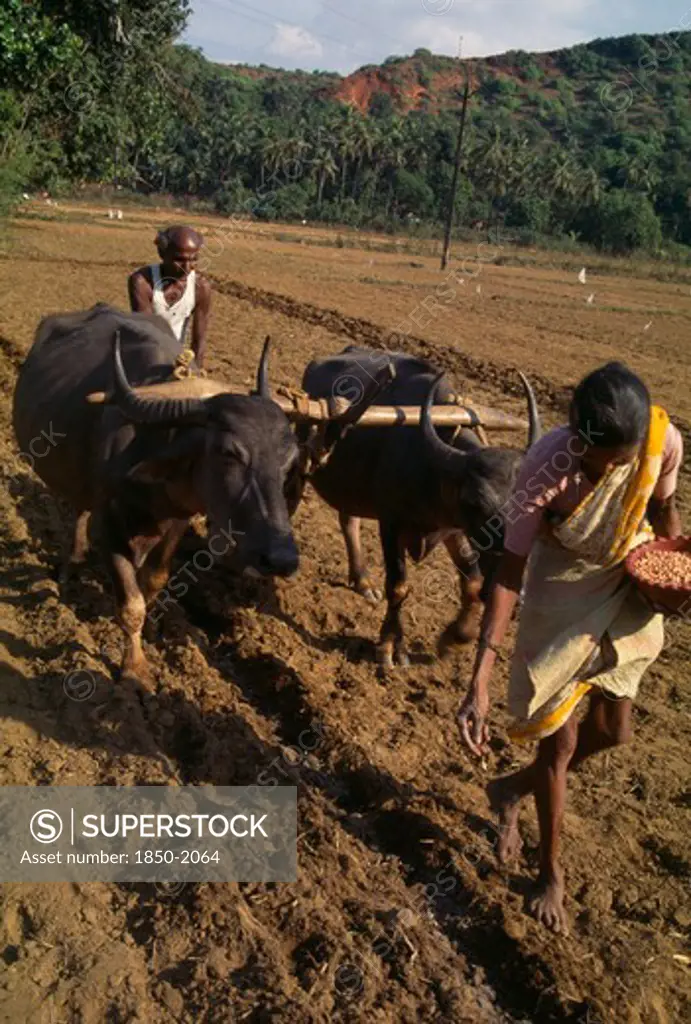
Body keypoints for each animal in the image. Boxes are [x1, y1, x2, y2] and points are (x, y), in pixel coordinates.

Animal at [12, 303, 300, 688]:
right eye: (228, 452)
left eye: (289, 460)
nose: (281, 558)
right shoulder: (110, 523)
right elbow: (131, 604)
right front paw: (135, 669)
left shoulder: (178, 520)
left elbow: (152, 583)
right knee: (78, 511)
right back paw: (70, 565)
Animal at [296, 346, 540, 671]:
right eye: (476, 502)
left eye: (529, 503)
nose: (514, 591)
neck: (429, 468)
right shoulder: (391, 523)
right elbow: (398, 586)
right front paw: (389, 646)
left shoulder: (453, 527)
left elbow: (472, 582)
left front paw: (457, 636)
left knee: (349, 520)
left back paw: (362, 580)